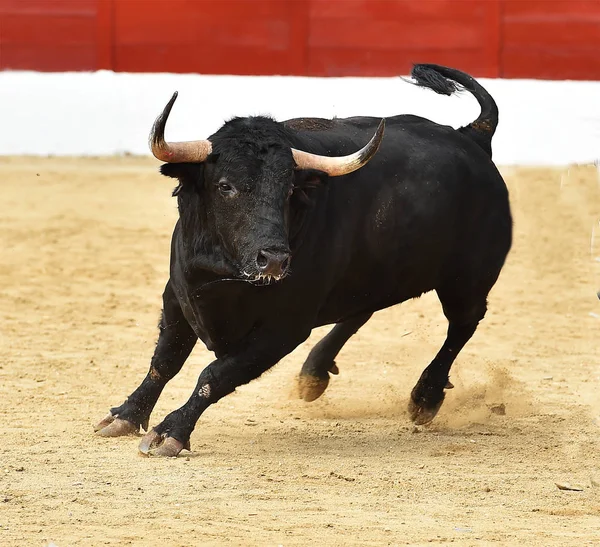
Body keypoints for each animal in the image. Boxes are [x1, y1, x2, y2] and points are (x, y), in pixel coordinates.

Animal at [94, 65, 510, 458]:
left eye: (290, 189)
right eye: (225, 186)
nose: (274, 260)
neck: (227, 272)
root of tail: (473, 135)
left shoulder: (285, 327)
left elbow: (215, 375)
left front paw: (171, 432)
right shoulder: (178, 295)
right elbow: (164, 361)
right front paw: (125, 415)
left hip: (468, 279)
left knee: (462, 326)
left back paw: (425, 397)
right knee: (362, 310)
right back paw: (314, 374)